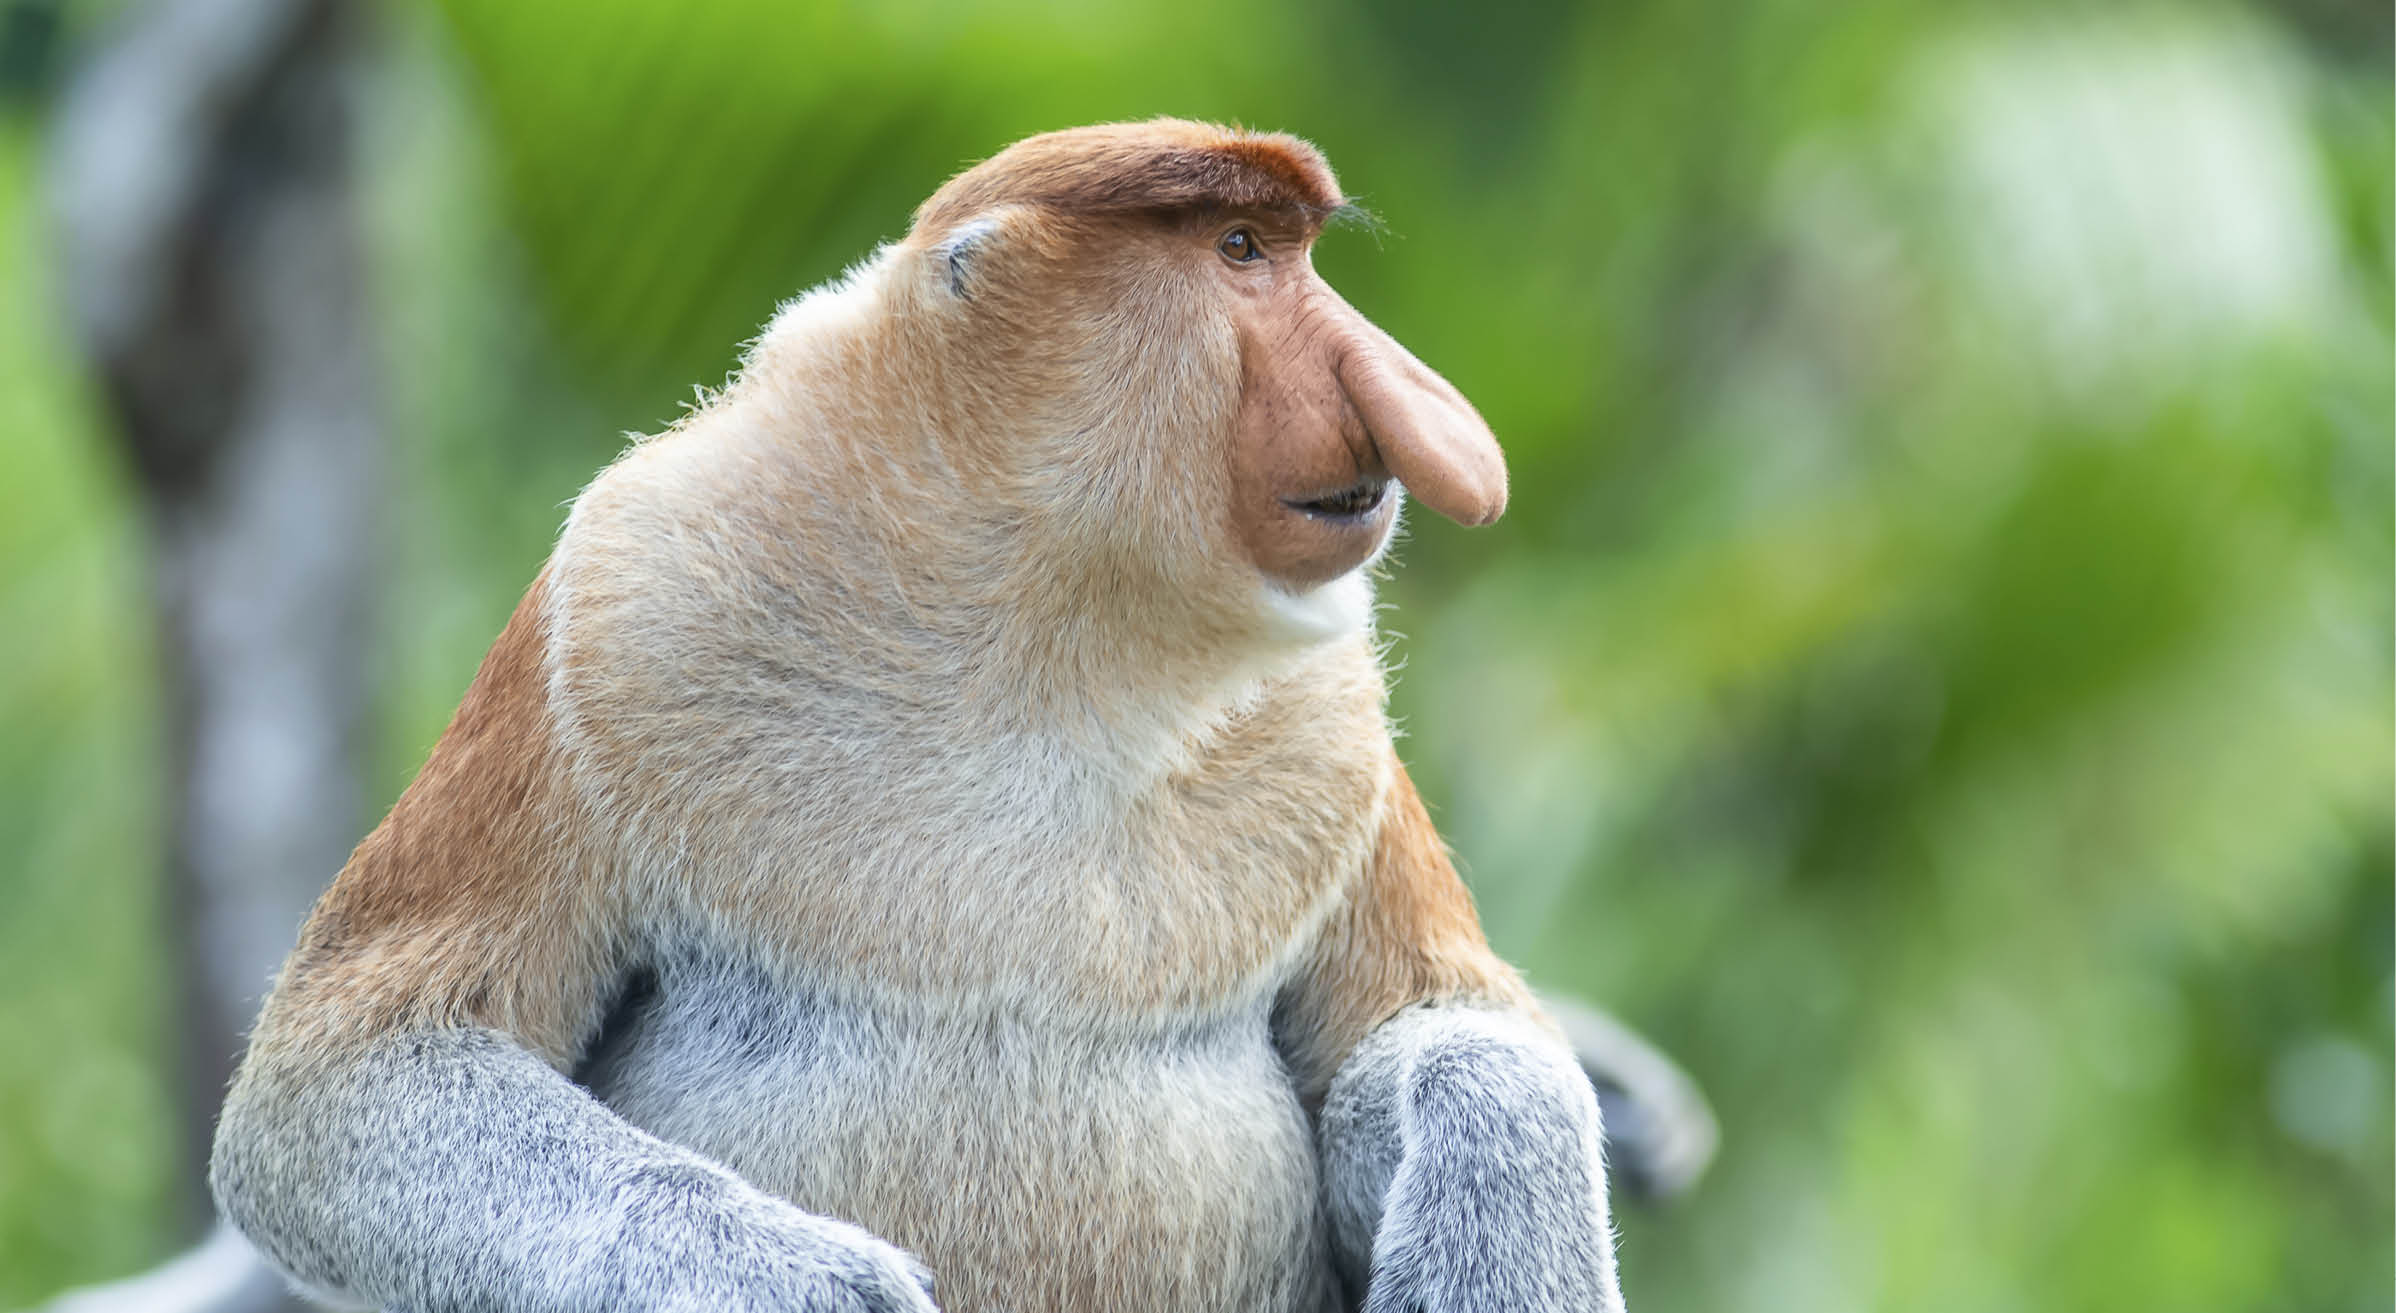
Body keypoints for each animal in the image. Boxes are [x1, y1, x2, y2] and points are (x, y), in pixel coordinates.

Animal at [209, 119, 1624, 1313]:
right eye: (1240, 251)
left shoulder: (1337, 735)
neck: (1040, 627)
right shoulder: (606, 618)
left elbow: (1438, 1027)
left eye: (1293, 251)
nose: (1421, 401)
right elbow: (343, 1083)